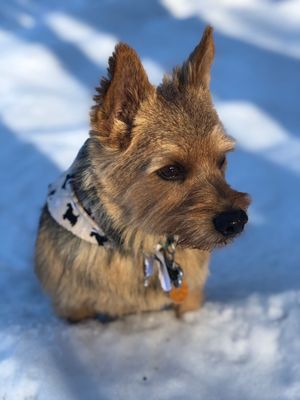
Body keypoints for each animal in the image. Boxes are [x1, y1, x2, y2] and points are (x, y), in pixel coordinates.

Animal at [34, 26, 250, 320]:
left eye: (221, 160)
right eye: (171, 170)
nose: (235, 220)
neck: (141, 242)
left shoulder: (191, 298)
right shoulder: (72, 307)